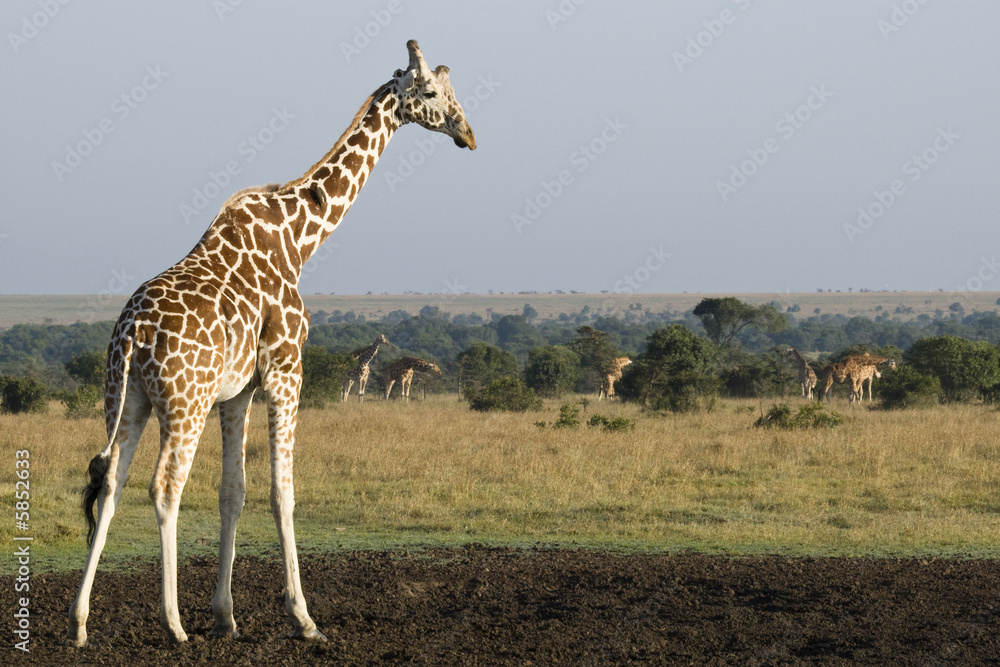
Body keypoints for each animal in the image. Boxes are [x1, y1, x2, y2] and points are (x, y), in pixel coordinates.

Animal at [67, 41, 475, 647]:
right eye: (430, 93)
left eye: (452, 93)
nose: (467, 133)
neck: (300, 239)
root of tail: (131, 331)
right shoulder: (287, 369)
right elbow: (282, 490)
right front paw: (303, 618)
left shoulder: (237, 391)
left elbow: (232, 492)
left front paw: (225, 616)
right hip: (184, 403)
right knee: (164, 488)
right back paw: (172, 624)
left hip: (128, 397)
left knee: (111, 480)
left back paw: (80, 621)